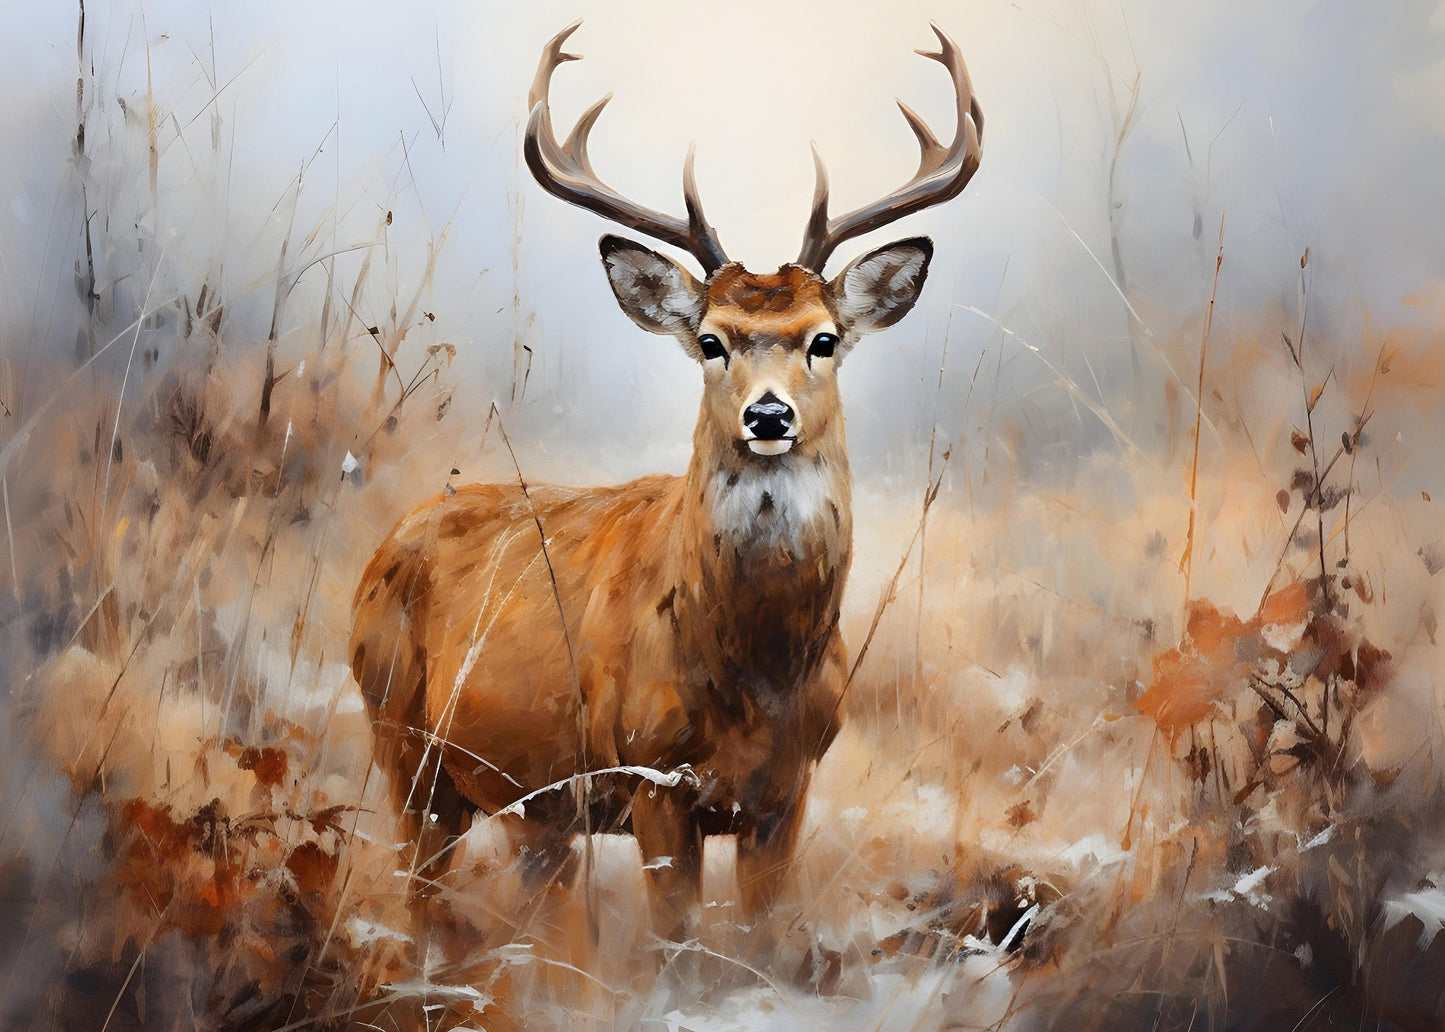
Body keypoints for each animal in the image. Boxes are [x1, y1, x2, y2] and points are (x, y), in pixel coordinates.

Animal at [349, 20, 983, 944]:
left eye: (823, 339)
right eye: (712, 340)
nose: (767, 416)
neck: (754, 679)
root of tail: (382, 548)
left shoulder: (786, 792)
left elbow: (764, 936)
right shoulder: (653, 778)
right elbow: (673, 941)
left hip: (529, 802)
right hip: (403, 742)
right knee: (420, 897)